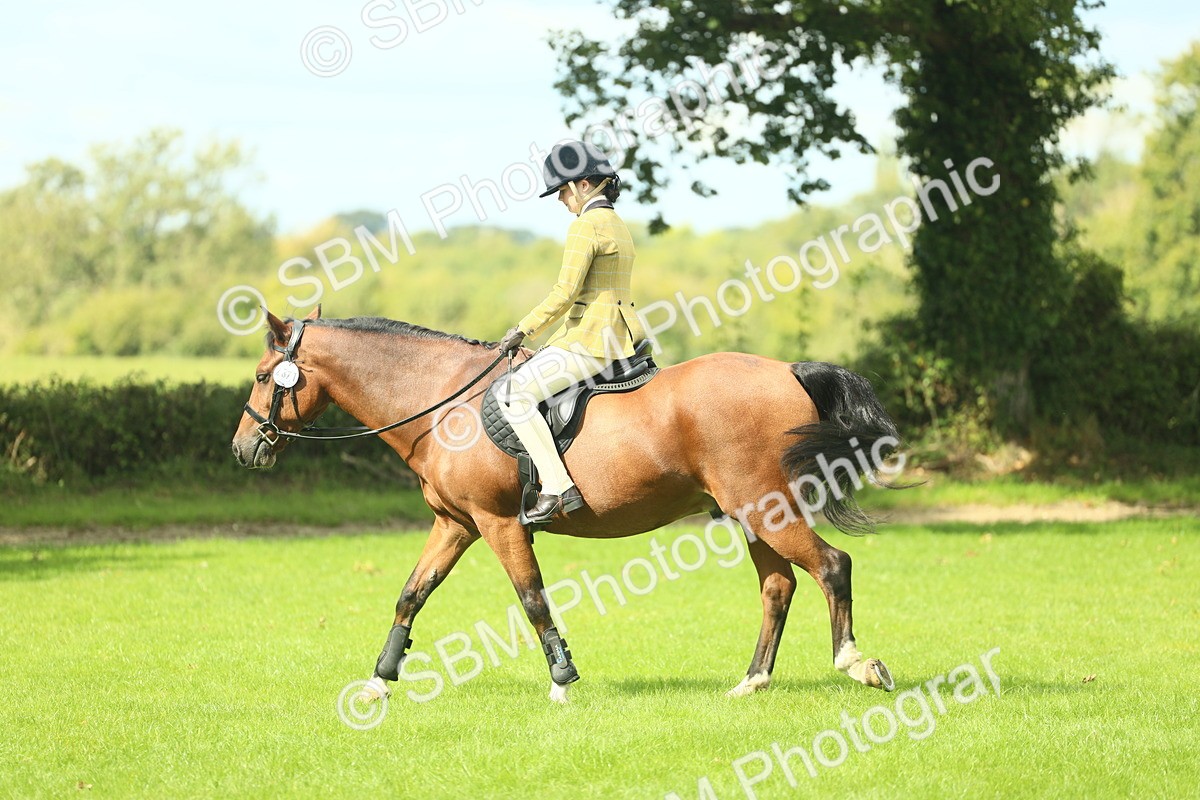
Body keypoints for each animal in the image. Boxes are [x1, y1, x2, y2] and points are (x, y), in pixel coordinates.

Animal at [231, 306, 906, 704]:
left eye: (265, 376)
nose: (243, 449)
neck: (443, 401)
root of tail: (788, 370)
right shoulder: (455, 524)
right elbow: (411, 594)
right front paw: (379, 681)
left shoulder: (499, 524)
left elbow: (532, 600)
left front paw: (562, 681)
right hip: (750, 513)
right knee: (778, 586)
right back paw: (752, 681)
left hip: (764, 508)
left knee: (830, 567)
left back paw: (856, 664)